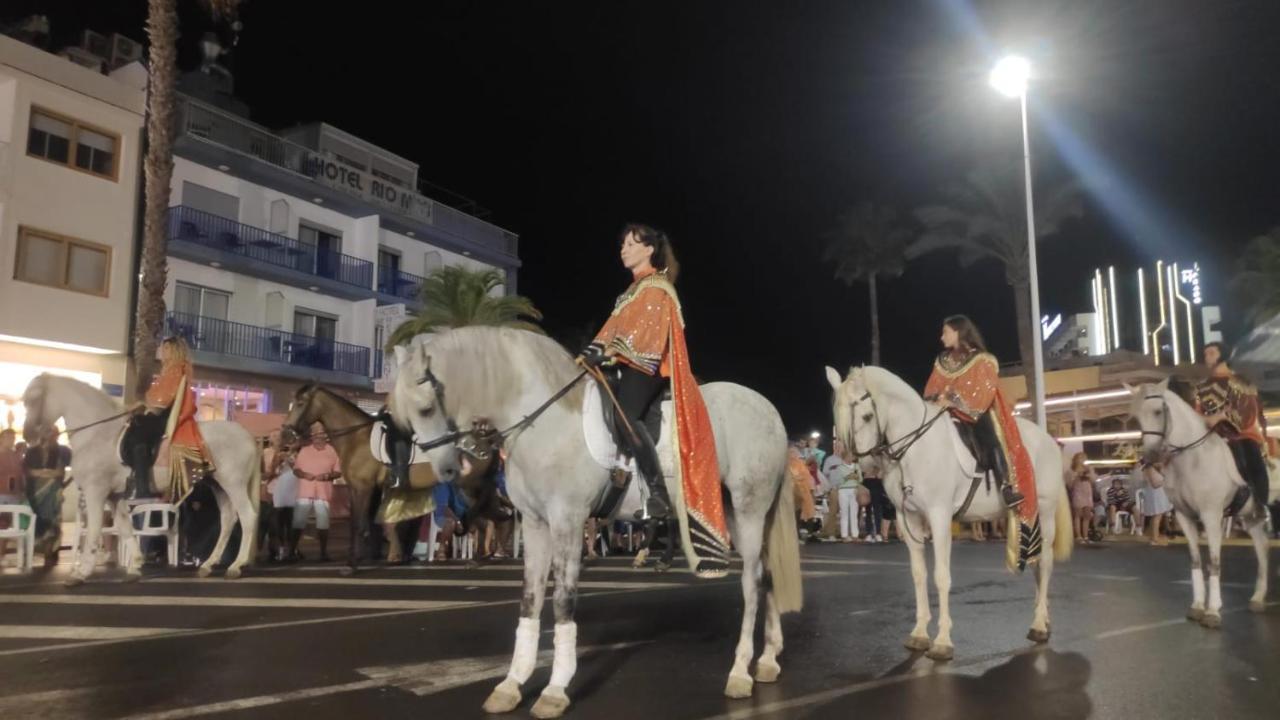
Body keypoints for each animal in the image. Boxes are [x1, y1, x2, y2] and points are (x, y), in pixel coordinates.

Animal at [23, 371, 261, 579]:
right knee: (228, 519)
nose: (28, 436)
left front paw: (82, 573)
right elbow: (124, 527)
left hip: (234, 484)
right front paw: (135, 567)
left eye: (33, 399)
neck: (98, 434)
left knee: (247, 517)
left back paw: (236, 566)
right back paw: (208, 565)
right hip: (218, 485)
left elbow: (94, 529)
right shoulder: (114, 496)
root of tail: (248, 437)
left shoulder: (95, 492)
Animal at [282, 384, 437, 568]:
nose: (285, 435)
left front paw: (354, 564)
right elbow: (354, 524)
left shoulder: (364, 487)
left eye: (300, 403)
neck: (356, 437)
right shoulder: (354, 488)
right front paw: (352, 560)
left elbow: (359, 525)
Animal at [389, 327, 798, 712]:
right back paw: (767, 660)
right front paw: (511, 685)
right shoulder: (535, 524)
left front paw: (555, 690)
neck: (543, 420)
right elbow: (530, 599)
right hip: (736, 513)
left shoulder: (567, 520)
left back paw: (740, 672)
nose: (445, 470)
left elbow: (563, 601)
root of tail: (771, 413)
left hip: (749, 508)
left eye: (425, 408)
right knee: (767, 574)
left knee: (751, 581)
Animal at [824, 366, 1075, 661]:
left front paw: (942, 641)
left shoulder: (939, 515)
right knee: (1037, 566)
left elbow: (941, 576)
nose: (862, 465)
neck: (916, 448)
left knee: (1044, 564)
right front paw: (919, 634)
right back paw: (1043, 617)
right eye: (837, 415)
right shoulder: (908, 518)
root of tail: (1050, 441)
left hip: (1043, 512)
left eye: (866, 416)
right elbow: (919, 574)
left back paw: (1038, 625)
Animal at [1126, 376, 1264, 622]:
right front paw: (1198, 605)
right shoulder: (1185, 516)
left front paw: (1213, 610)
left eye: (1158, 411)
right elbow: (1196, 560)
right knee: (1262, 547)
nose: (1150, 457)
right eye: (1137, 417)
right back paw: (1258, 597)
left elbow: (1214, 562)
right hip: (1250, 516)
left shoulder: (1211, 516)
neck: (1192, 459)